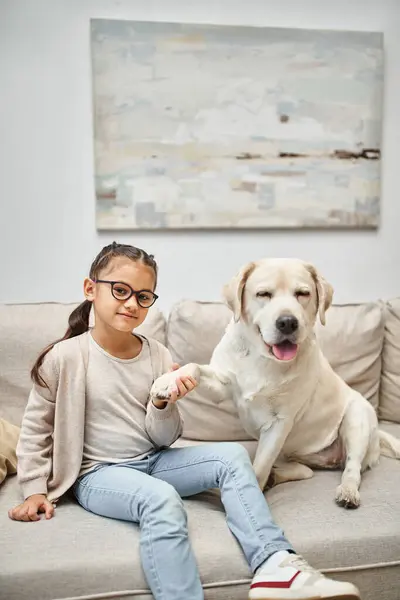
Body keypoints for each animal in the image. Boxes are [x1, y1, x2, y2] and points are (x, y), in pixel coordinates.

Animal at [151, 258, 400, 506]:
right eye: (263, 294)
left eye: (303, 293)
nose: (288, 322)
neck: (262, 358)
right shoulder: (222, 383)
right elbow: (194, 367)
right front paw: (168, 381)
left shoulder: (279, 423)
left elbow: (259, 468)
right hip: (290, 452)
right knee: (304, 471)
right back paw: (277, 477)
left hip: (356, 419)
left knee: (352, 467)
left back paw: (347, 491)